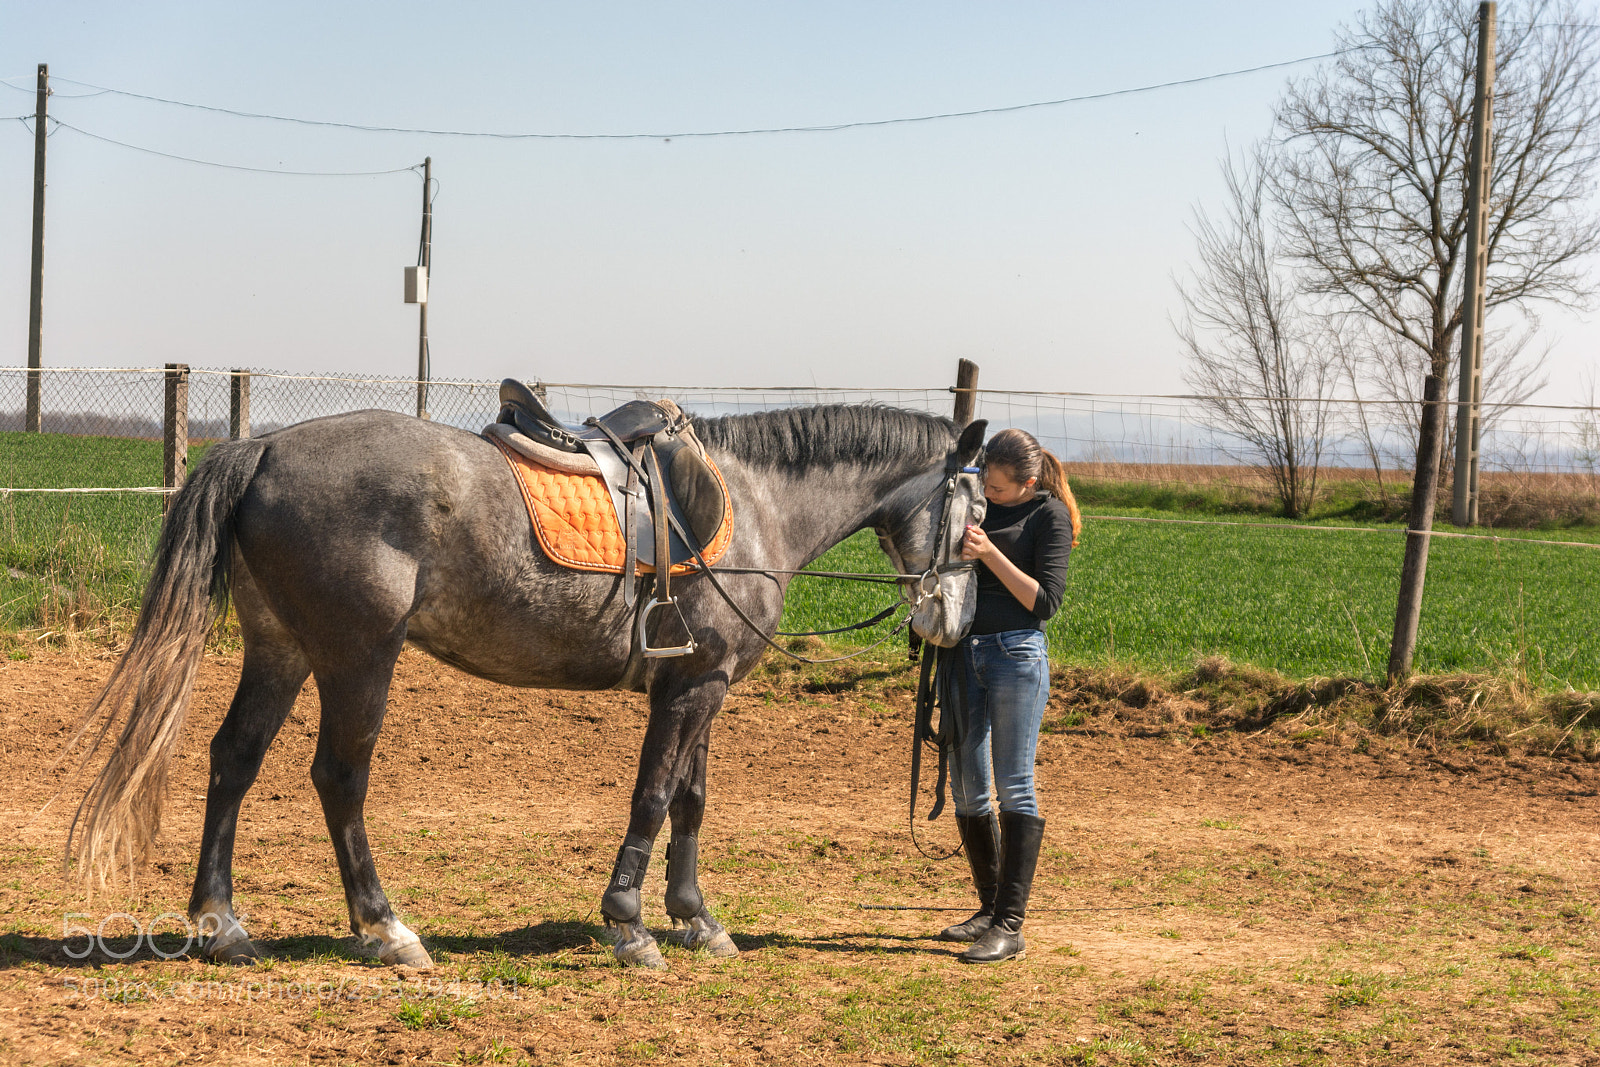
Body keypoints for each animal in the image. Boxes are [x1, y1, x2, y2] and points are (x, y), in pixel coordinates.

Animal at [66, 403, 987, 969]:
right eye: (975, 516)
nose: (951, 620)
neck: (755, 504)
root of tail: (265, 446)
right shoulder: (690, 690)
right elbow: (654, 796)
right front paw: (630, 923)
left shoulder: (704, 683)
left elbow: (691, 799)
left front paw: (695, 915)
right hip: (358, 657)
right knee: (338, 778)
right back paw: (384, 925)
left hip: (281, 650)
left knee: (234, 760)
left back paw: (220, 923)